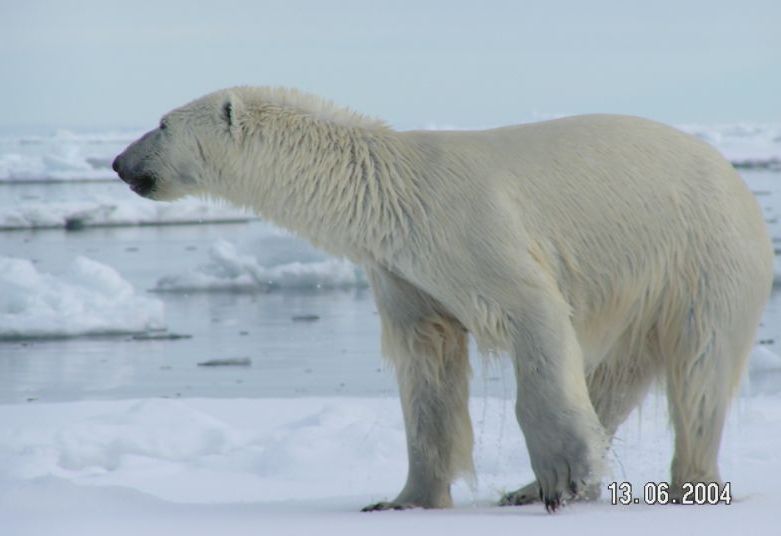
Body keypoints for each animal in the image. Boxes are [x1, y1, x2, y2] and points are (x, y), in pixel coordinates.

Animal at [113, 87, 774, 512]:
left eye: (162, 123)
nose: (119, 162)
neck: (390, 193)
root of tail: (737, 182)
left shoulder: (472, 230)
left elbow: (534, 315)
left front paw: (561, 477)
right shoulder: (405, 270)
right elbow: (427, 368)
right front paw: (403, 500)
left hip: (703, 258)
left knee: (700, 373)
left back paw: (688, 487)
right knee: (615, 377)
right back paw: (527, 488)